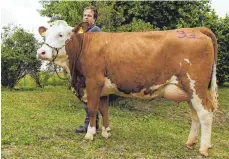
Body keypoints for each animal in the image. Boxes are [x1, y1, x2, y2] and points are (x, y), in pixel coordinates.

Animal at [37, 19, 218, 157]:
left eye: (61, 35)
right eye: (46, 34)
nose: (41, 52)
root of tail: (196, 29)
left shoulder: (93, 82)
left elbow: (93, 109)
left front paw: (90, 134)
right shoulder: (103, 88)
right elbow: (104, 109)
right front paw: (106, 132)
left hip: (196, 87)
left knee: (205, 113)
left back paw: (203, 148)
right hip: (189, 91)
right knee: (195, 115)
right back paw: (190, 143)